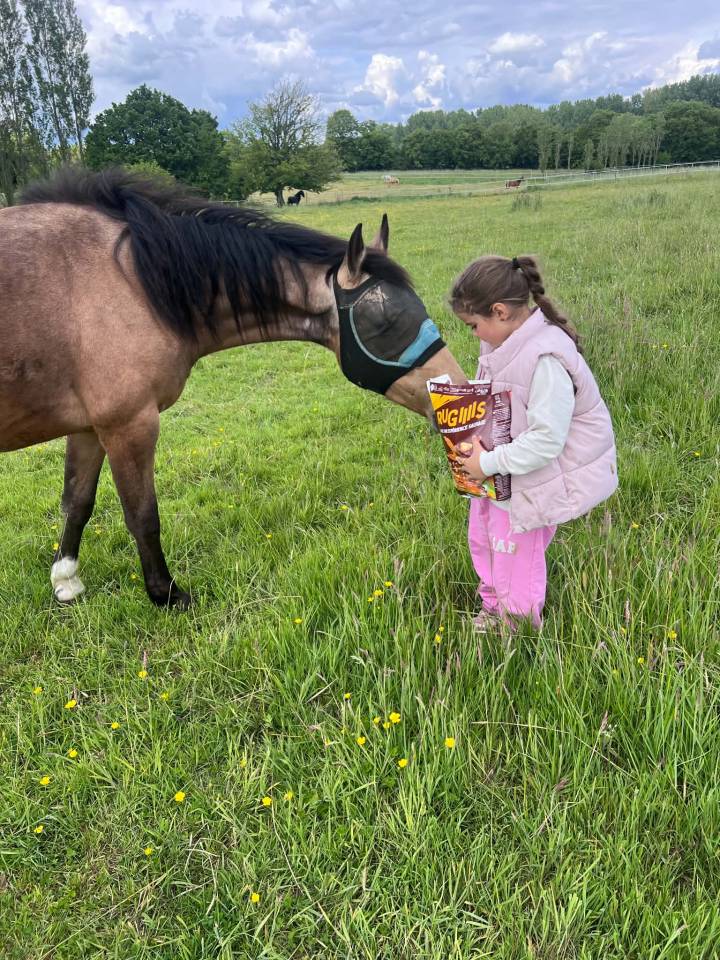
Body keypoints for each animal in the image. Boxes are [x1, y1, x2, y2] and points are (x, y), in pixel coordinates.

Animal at [1, 167, 465, 608]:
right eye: (385, 324)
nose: (456, 394)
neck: (132, 281)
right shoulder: (129, 425)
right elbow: (142, 515)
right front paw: (166, 595)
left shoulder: (89, 428)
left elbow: (77, 503)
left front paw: (66, 581)